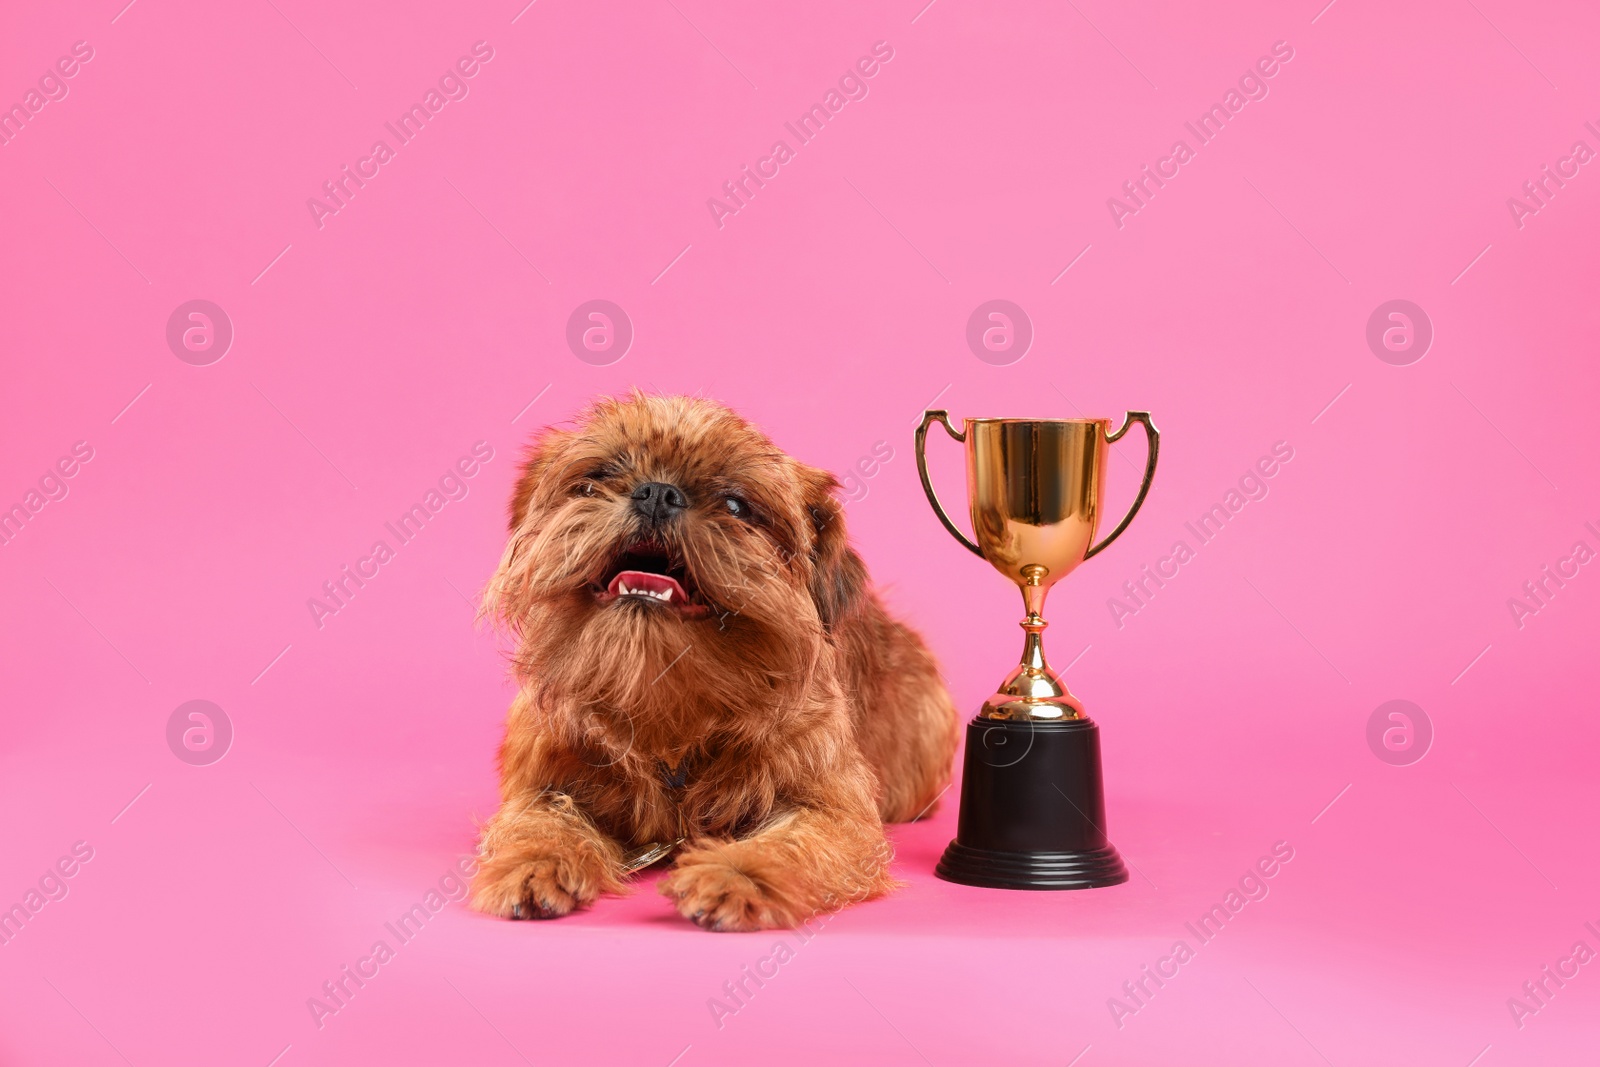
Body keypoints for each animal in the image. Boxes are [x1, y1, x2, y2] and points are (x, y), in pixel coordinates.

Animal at [467, 396, 953, 927]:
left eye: (736, 506)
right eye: (598, 477)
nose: (658, 493)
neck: (666, 700)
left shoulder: (835, 812)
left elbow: (793, 843)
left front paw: (735, 875)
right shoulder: (539, 782)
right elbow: (538, 820)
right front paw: (534, 861)